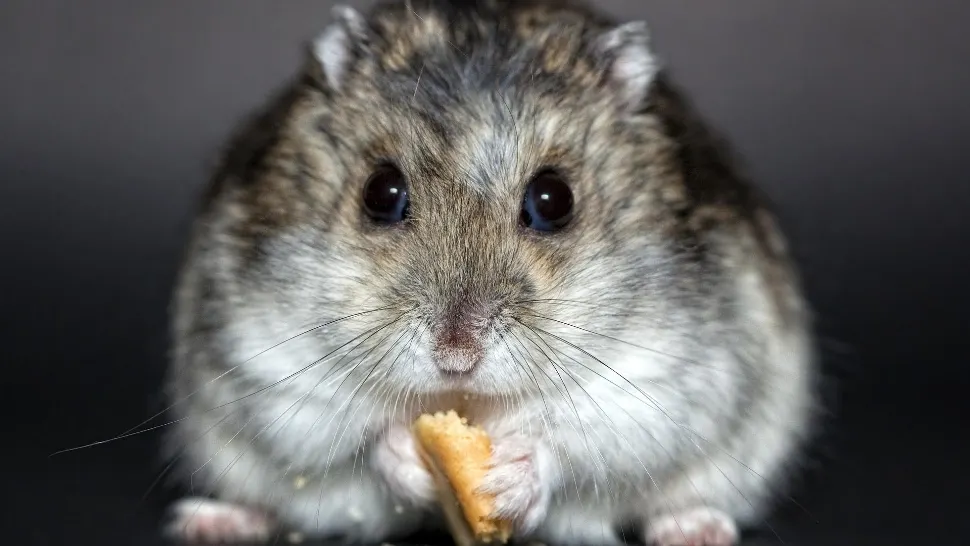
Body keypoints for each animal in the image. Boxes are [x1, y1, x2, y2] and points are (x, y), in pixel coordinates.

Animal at [162, 1, 817, 544]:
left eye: (554, 200)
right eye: (381, 193)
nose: (456, 356)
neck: (466, 400)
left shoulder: (666, 379)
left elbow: (577, 440)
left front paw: (508, 478)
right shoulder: (268, 361)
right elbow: (353, 434)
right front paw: (407, 454)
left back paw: (695, 529)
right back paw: (210, 522)